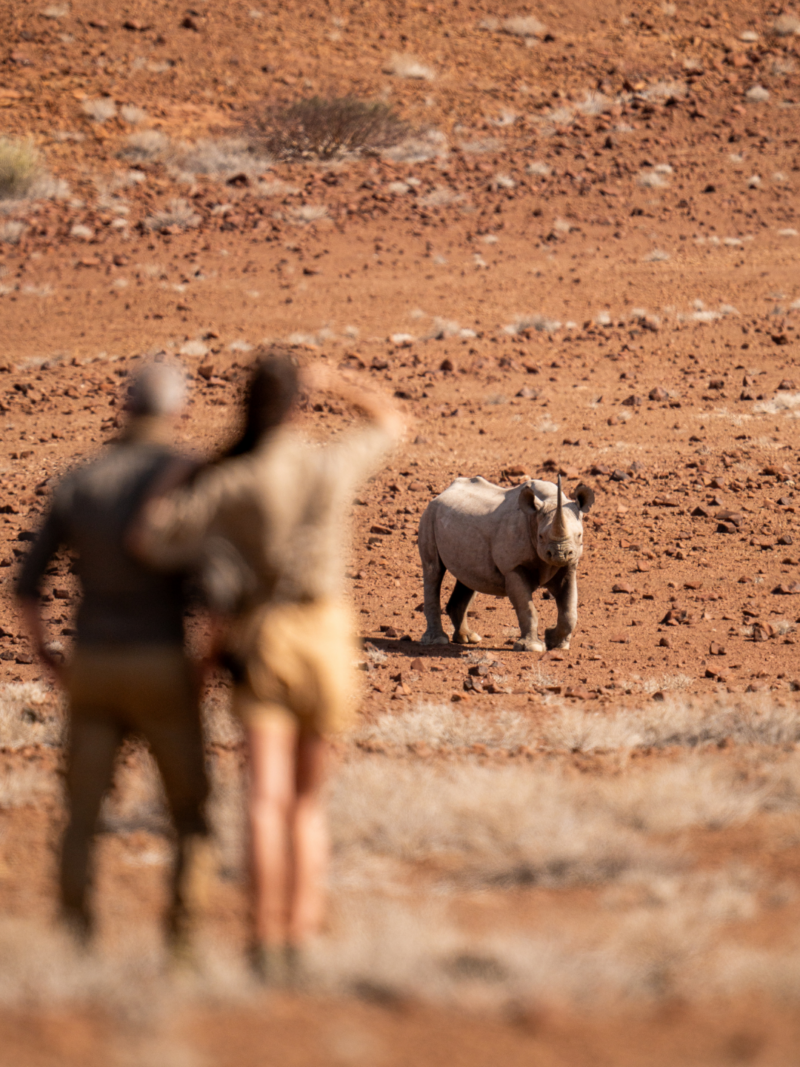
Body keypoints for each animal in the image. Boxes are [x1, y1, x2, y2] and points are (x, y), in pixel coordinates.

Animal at [418, 474, 595, 652]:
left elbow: (569, 611)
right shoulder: (513, 567)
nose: (560, 554)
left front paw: (556, 643)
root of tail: (441, 494)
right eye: (540, 537)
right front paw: (532, 648)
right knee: (433, 571)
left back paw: (468, 638)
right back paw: (438, 640)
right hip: (429, 515)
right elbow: (527, 608)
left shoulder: (569, 566)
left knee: (467, 578)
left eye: (579, 535)